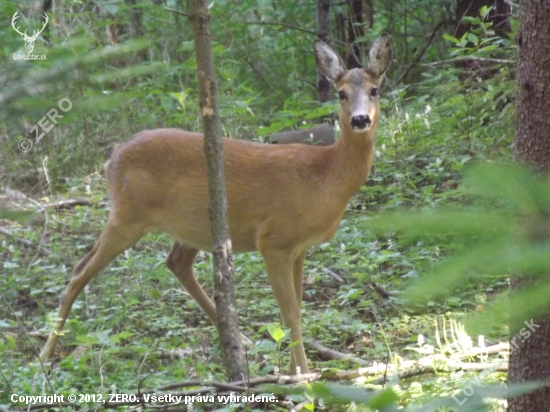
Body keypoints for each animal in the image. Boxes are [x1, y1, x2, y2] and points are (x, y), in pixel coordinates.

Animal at [40, 35, 392, 374]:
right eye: (341, 94)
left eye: (374, 90)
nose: (360, 119)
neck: (325, 177)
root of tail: (112, 156)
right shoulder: (273, 240)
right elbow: (290, 313)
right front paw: (303, 377)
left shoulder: (299, 247)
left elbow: (298, 309)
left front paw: (294, 371)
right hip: (127, 215)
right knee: (79, 271)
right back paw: (45, 355)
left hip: (191, 224)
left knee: (174, 262)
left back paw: (242, 339)